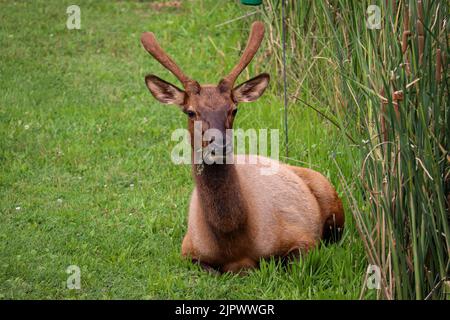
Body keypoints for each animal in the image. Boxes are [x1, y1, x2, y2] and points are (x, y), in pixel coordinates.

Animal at [141, 21, 344, 274]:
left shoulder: (302, 238)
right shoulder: (188, 250)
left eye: (233, 108)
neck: (234, 239)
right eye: (190, 111)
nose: (219, 146)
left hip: (330, 195)